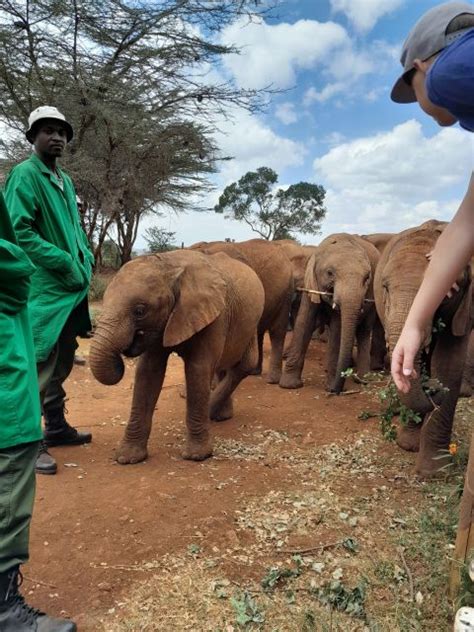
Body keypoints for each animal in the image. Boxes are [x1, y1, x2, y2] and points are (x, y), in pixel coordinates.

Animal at [89, 251, 264, 464]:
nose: (122, 358)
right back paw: (219, 416)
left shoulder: (214, 315)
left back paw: (211, 412)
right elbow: (148, 372)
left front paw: (196, 455)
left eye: (140, 311)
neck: (169, 264)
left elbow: (197, 369)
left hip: (251, 321)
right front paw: (128, 458)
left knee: (243, 364)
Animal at [280, 235, 380, 396]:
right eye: (329, 273)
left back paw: (362, 379)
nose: (336, 391)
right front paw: (289, 385)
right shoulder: (311, 284)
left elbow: (337, 328)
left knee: (364, 331)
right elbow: (304, 321)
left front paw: (331, 386)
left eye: (367, 277)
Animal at [374, 221, 470, 474]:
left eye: (448, 292)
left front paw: (435, 472)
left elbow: (448, 363)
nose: (433, 388)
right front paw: (408, 446)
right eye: (385, 287)